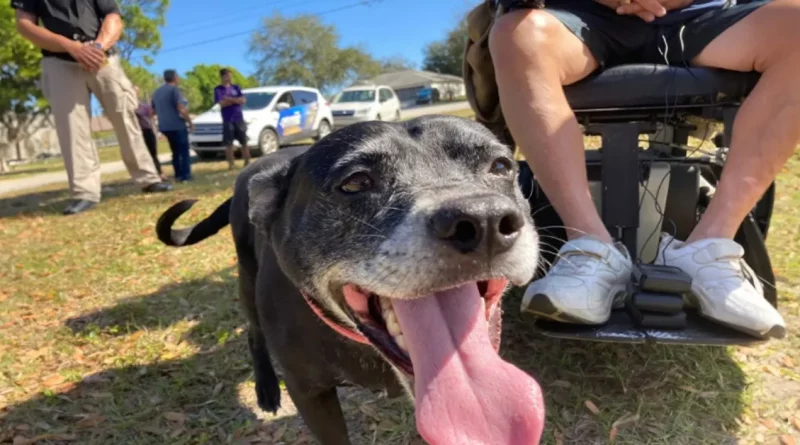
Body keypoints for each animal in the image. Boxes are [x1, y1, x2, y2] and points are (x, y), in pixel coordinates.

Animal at [155, 116, 544, 442]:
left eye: (500, 166)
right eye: (356, 182)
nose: (484, 220)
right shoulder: (309, 394)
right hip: (246, 276)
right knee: (252, 330)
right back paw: (265, 388)